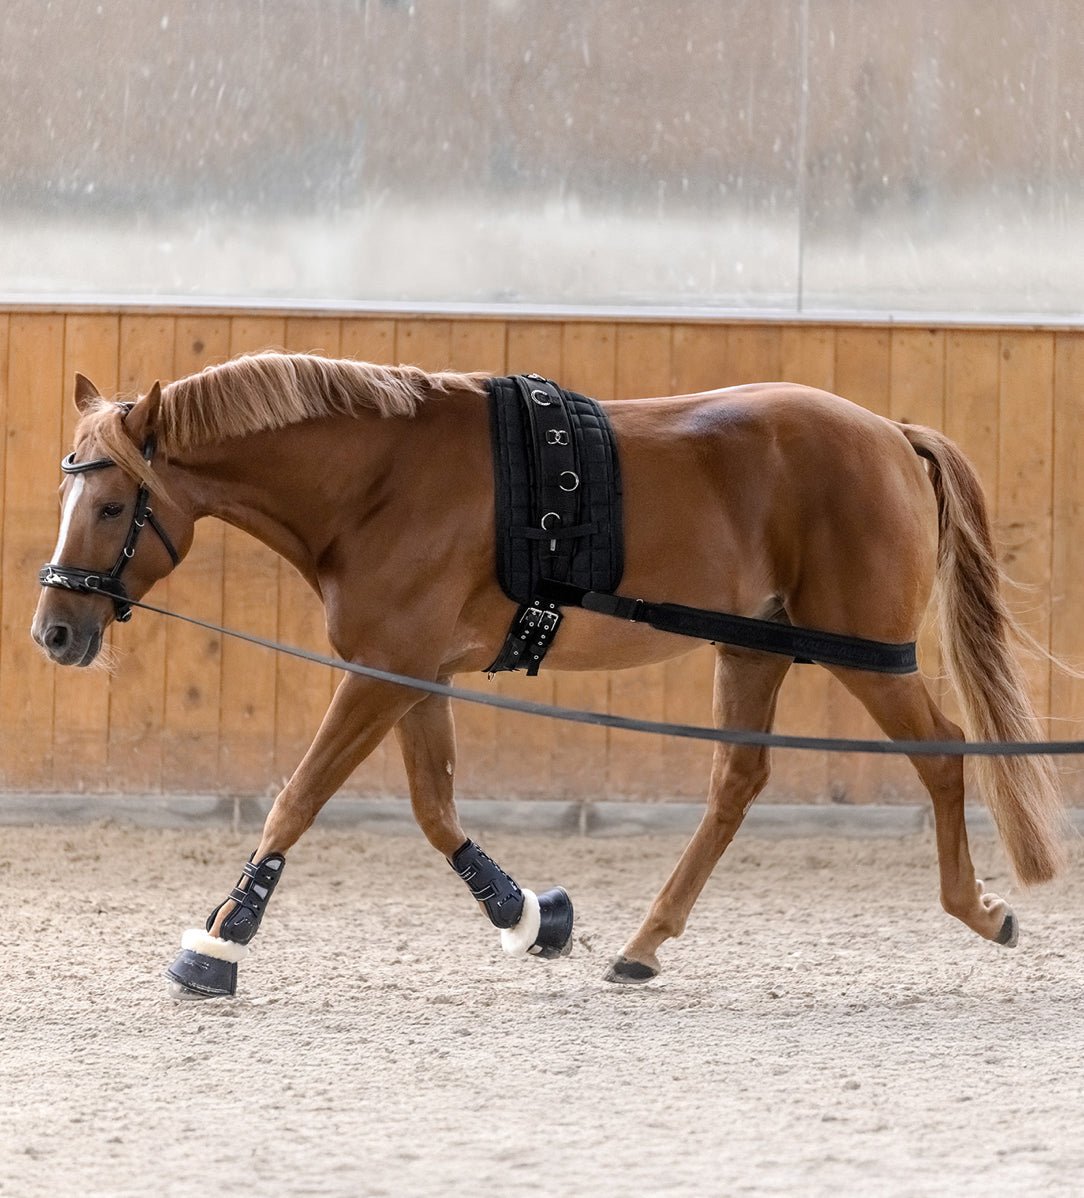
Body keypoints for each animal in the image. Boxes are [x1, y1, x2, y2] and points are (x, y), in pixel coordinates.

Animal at [31, 352, 1067, 999]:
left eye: (115, 503)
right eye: (68, 492)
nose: (54, 631)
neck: (379, 480)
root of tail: (889, 433)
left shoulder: (382, 671)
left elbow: (300, 797)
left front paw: (221, 938)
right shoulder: (413, 674)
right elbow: (435, 808)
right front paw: (531, 916)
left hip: (867, 655)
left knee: (941, 755)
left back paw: (979, 911)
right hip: (754, 648)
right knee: (737, 783)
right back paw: (644, 946)